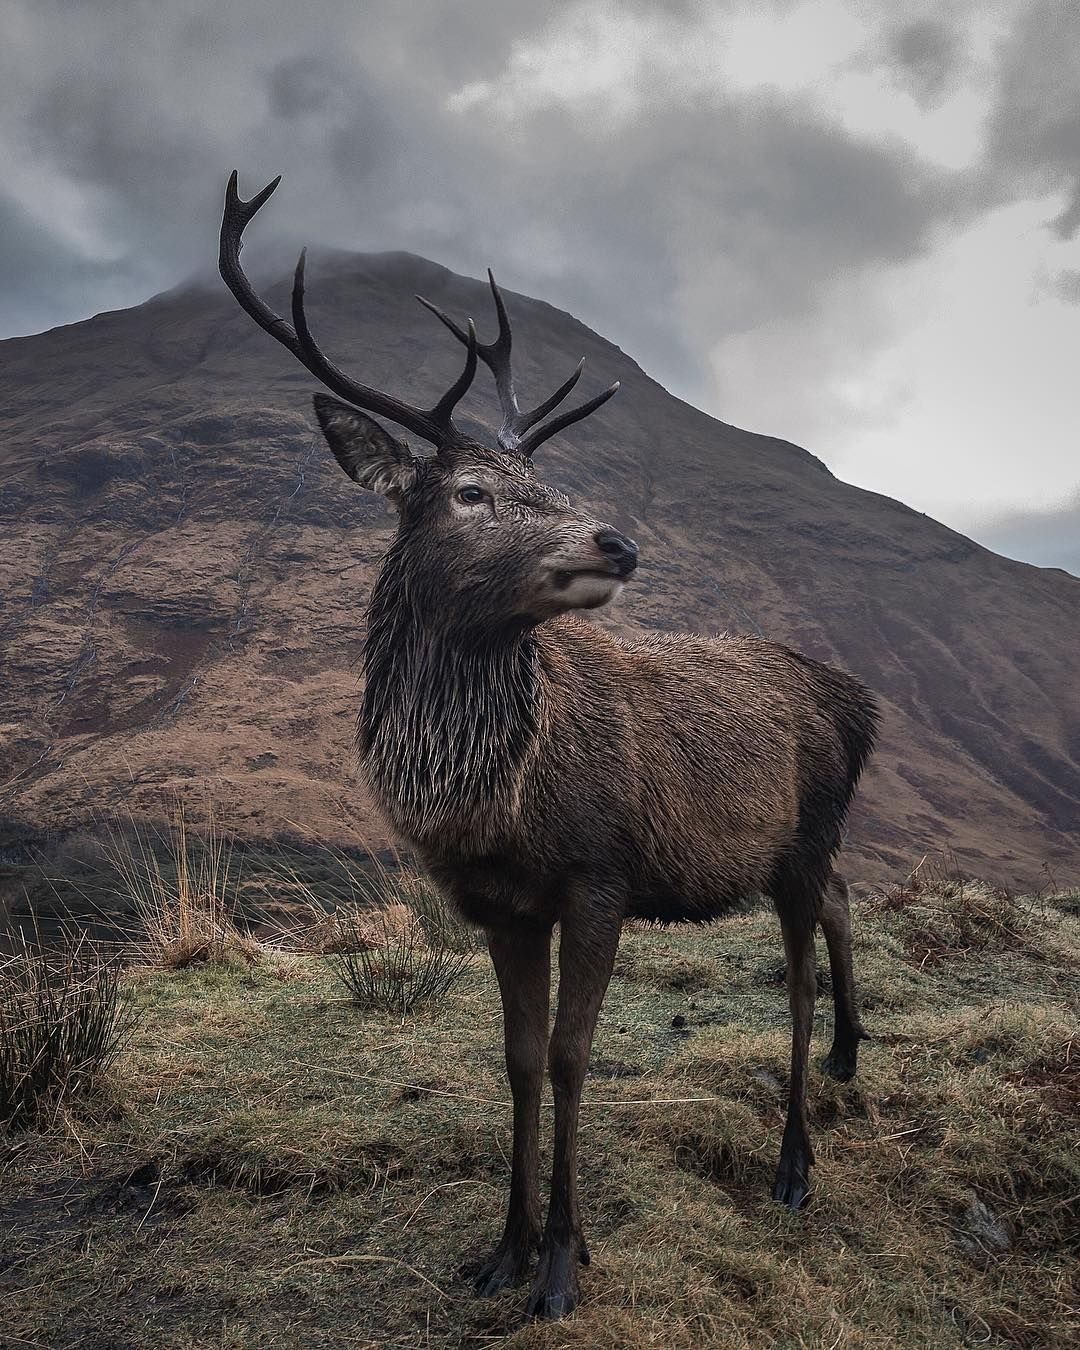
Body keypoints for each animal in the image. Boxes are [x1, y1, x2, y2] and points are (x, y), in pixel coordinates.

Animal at [217, 168, 874, 1317]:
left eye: (555, 489)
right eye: (470, 492)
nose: (618, 541)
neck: (495, 803)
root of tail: (856, 700)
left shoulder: (599, 875)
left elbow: (573, 1056)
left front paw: (564, 1261)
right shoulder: (498, 905)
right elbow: (519, 1057)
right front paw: (503, 1248)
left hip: (802, 840)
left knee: (795, 974)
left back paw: (796, 1159)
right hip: (793, 849)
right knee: (840, 904)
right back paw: (848, 1055)